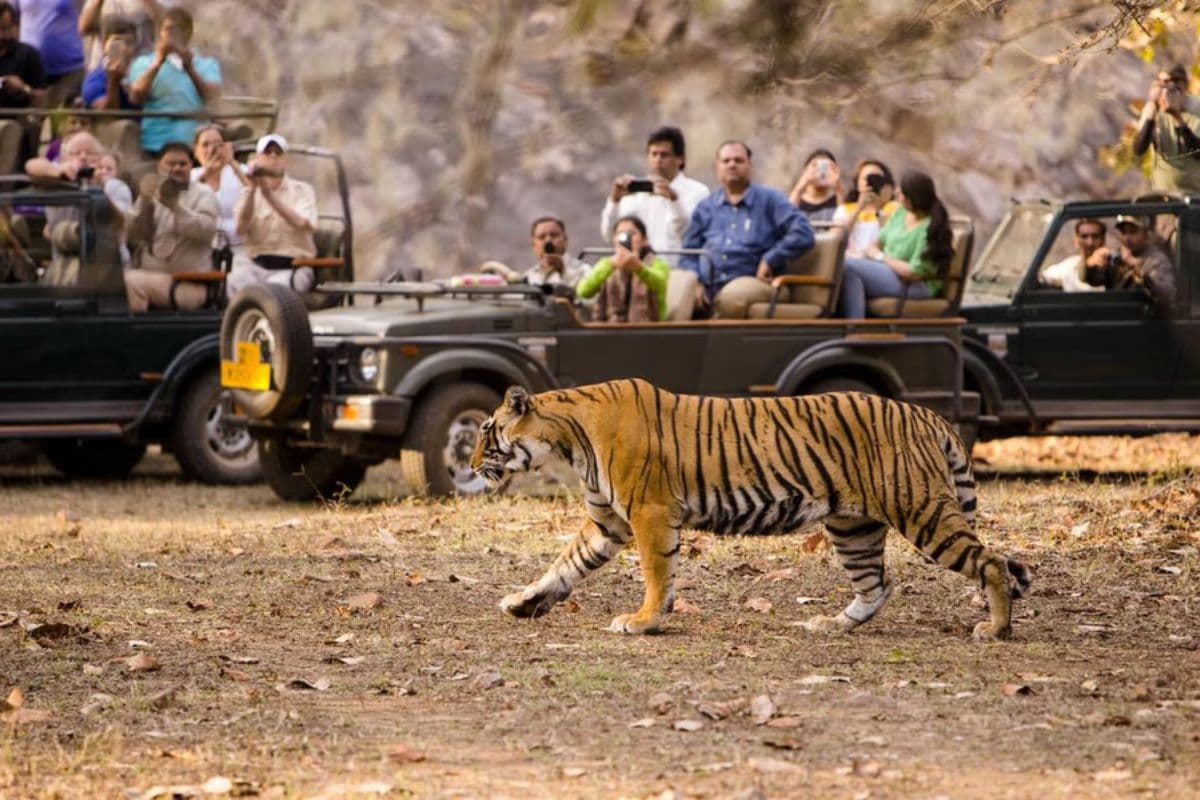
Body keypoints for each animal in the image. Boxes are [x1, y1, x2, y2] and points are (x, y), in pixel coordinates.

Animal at [470, 378, 1031, 640]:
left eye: (487, 432)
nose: (473, 464)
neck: (567, 439)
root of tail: (926, 414)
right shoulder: (607, 522)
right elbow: (563, 566)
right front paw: (522, 602)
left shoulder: (649, 513)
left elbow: (656, 573)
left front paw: (644, 621)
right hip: (854, 526)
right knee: (877, 584)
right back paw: (832, 625)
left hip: (921, 509)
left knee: (991, 563)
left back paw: (996, 630)